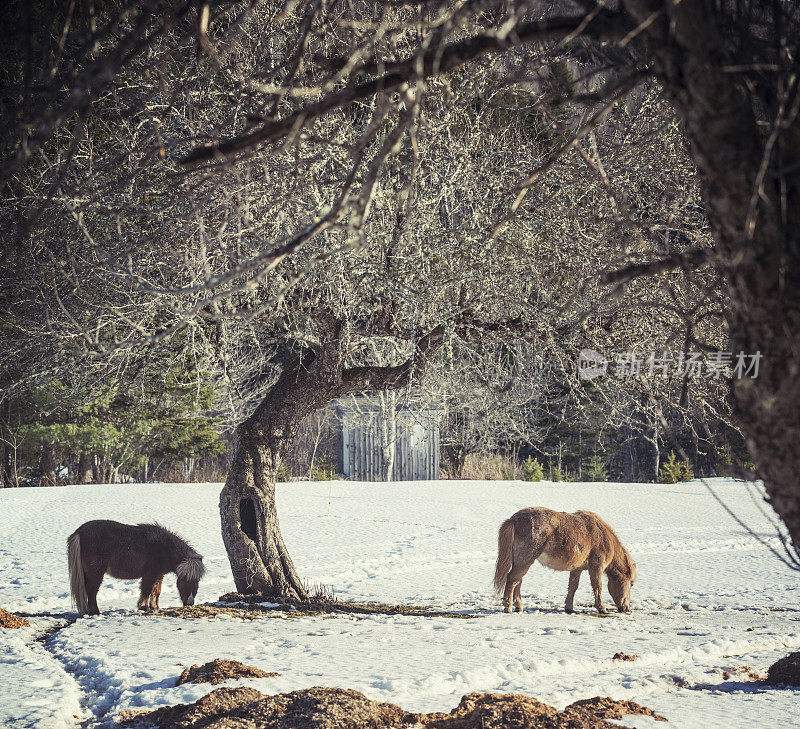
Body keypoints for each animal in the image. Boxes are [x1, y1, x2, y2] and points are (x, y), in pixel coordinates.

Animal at [67, 516, 205, 616]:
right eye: (183, 579)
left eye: (197, 580)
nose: (189, 603)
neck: (165, 547)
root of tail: (79, 532)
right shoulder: (150, 574)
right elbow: (146, 590)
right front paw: (144, 607)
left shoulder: (159, 575)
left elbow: (156, 591)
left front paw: (155, 607)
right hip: (96, 573)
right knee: (92, 591)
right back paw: (95, 612)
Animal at [494, 506, 636, 616]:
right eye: (632, 583)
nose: (626, 608)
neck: (603, 537)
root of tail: (513, 520)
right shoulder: (597, 568)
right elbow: (597, 587)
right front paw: (601, 608)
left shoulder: (577, 569)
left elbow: (573, 587)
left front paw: (569, 608)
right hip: (524, 561)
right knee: (512, 579)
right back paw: (508, 607)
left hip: (521, 562)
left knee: (517, 581)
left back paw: (519, 607)